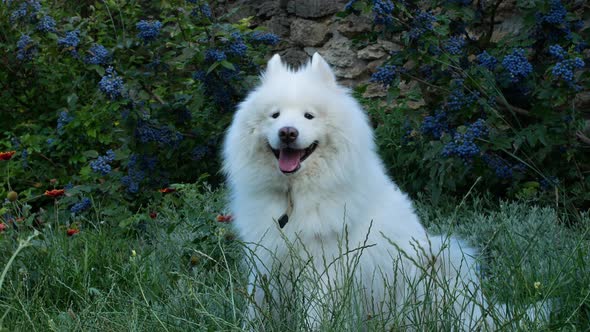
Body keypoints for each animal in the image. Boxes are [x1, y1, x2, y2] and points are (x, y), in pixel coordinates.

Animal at [223, 52, 540, 330]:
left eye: (308, 116)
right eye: (274, 115)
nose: (288, 132)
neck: (294, 195)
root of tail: (481, 311)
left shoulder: (323, 268)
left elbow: (313, 316)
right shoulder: (265, 261)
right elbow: (256, 310)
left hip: (436, 260)